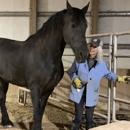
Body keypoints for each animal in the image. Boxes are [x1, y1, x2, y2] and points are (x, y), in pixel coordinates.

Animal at [0, 0, 89, 129]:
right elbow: (37, 111)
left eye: (85, 26)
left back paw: (6, 122)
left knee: (2, 98)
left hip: (3, 80)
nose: (84, 55)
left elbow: (41, 111)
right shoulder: (35, 88)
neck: (46, 56)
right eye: (73, 25)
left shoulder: (48, 89)